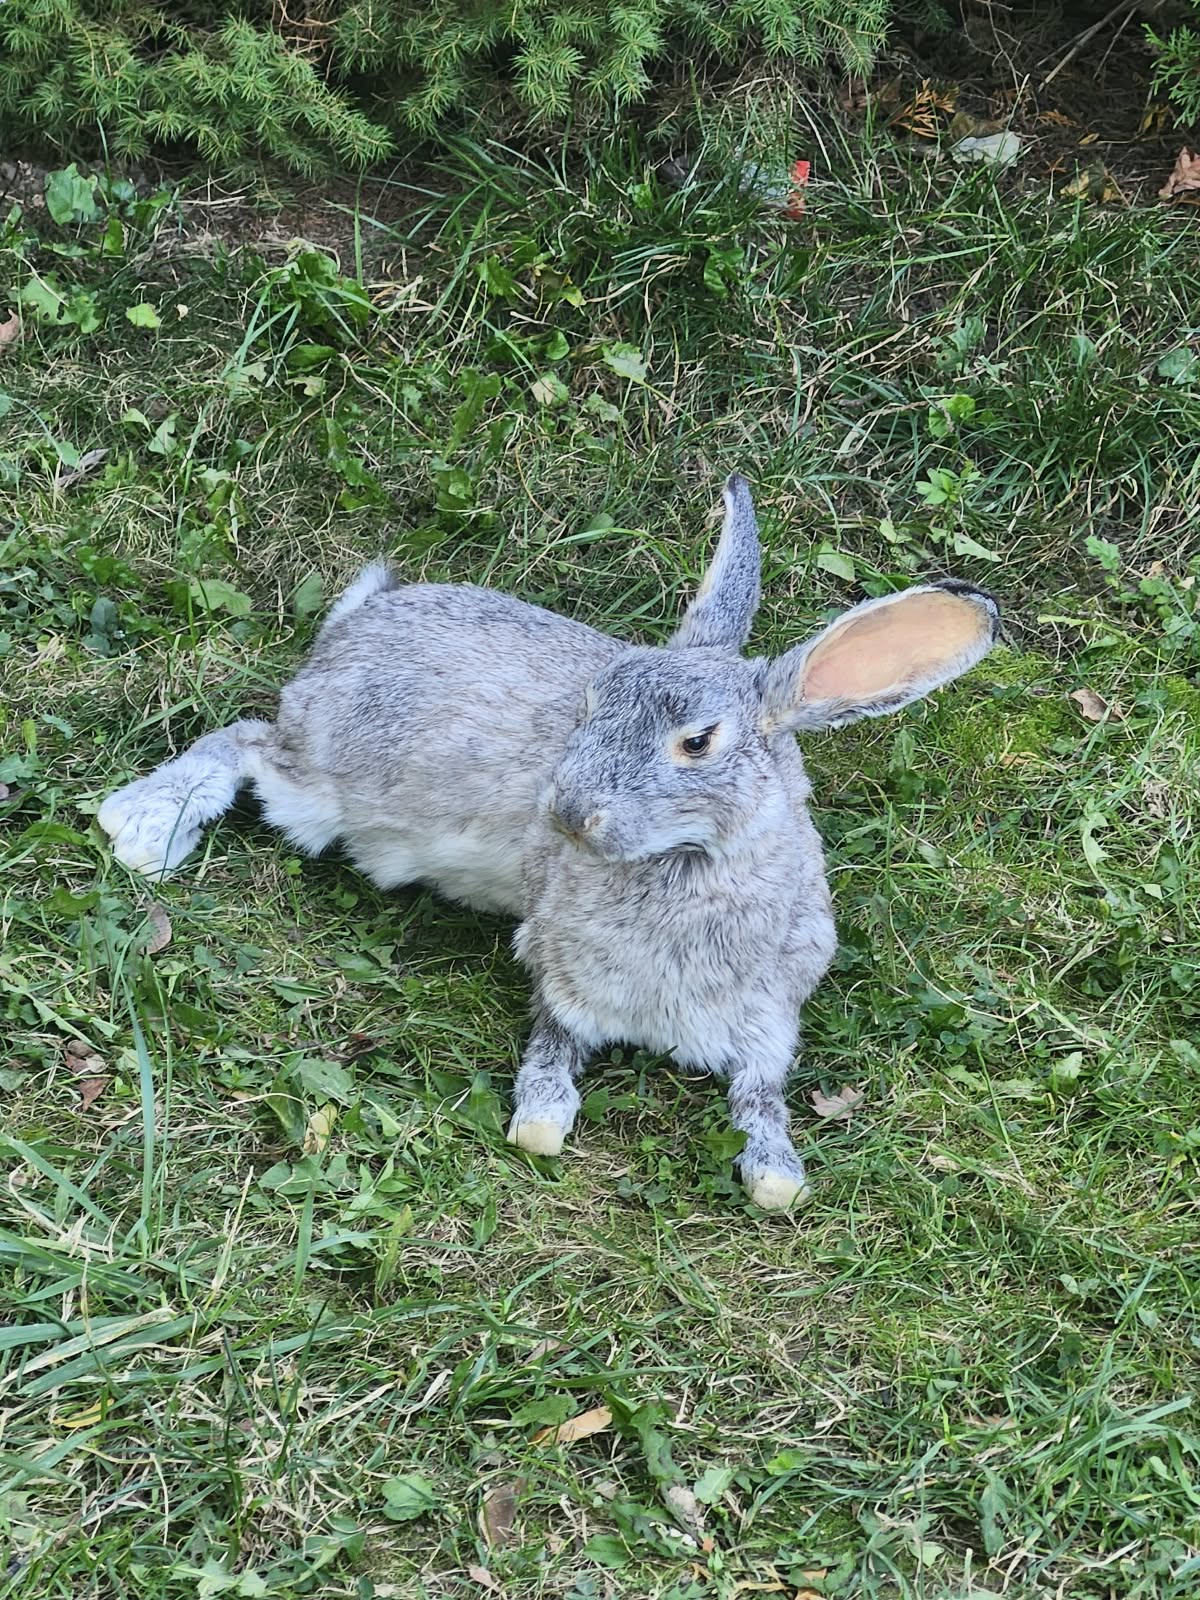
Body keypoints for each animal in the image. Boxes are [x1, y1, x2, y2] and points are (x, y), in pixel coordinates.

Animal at [98, 475, 1000, 1210]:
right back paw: (142, 829)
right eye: (593, 702)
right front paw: (542, 1123)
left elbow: (762, 1108)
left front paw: (776, 1176)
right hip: (322, 788)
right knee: (245, 740)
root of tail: (358, 622)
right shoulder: (561, 973)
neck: (682, 865)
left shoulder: (765, 1022)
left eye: (697, 742)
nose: (566, 811)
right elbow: (550, 1052)